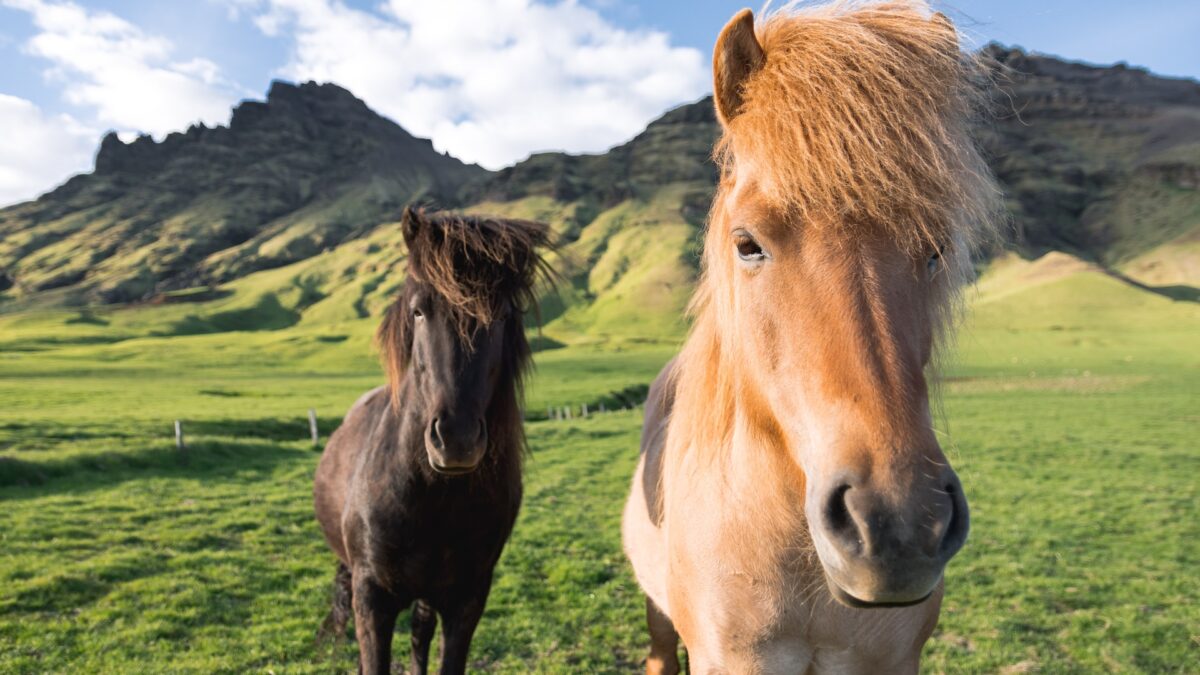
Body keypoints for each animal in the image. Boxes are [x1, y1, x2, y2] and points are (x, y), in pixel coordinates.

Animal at [309, 207, 552, 667]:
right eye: (420, 311)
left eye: (504, 316)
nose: (456, 440)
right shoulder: (372, 600)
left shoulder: (468, 600)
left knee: (420, 633)